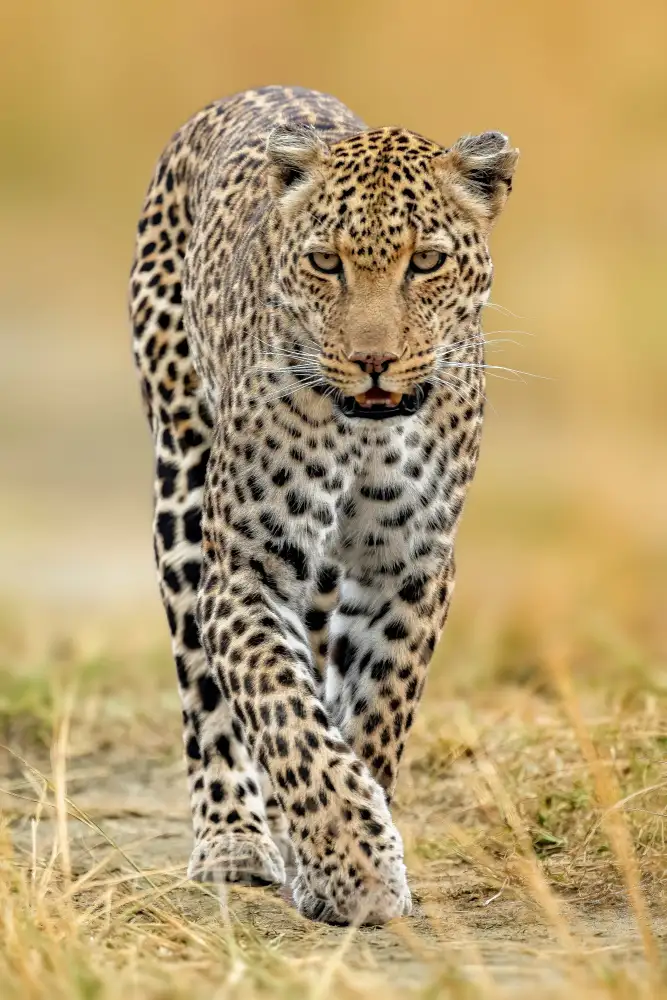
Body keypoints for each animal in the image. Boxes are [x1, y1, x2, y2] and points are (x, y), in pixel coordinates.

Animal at [129, 85, 518, 925]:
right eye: (324, 262)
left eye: (425, 261)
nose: (373, 362)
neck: (366, 433)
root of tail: (253, 91)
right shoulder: (245, 571)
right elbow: (285, 715)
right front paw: (352, 864)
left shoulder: (408, 568)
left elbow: (373, 711)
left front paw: (345, 850)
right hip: (181, 481)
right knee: (208, 696)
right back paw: (234, 839)